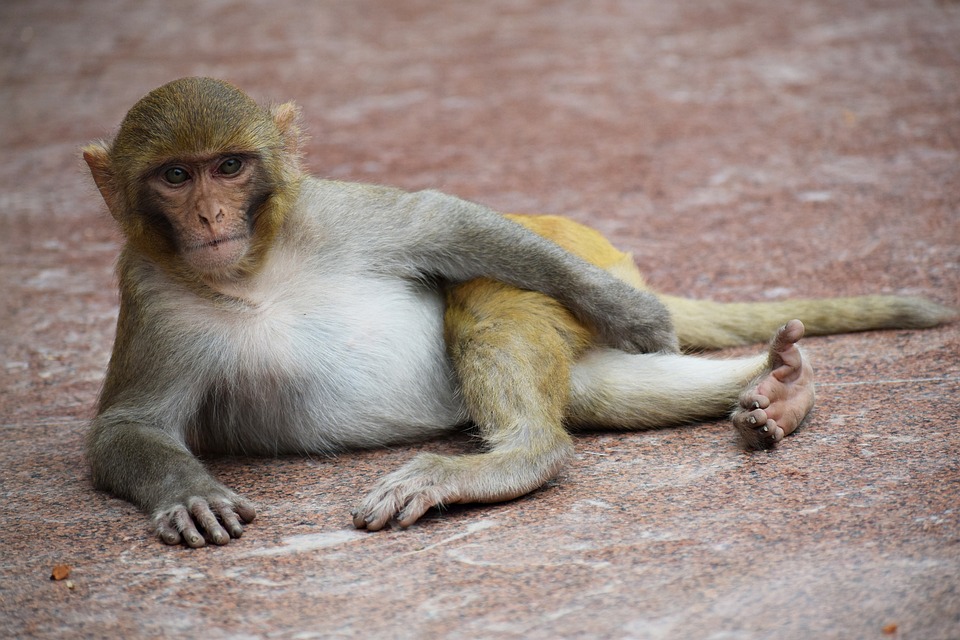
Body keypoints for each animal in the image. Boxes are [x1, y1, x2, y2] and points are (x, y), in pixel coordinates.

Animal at [82, 75, 952, 544]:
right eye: (175, 177)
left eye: (229, 168)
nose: (208, 217)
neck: (253, 272)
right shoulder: (151, 294)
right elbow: (128, 426)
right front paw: (189, 495)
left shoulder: (329, 213)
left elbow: (441, 223)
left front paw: (630, 311)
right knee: (597, 390)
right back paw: (780, 387)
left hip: (567, 244)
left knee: (483, 288)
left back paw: (522, 452)